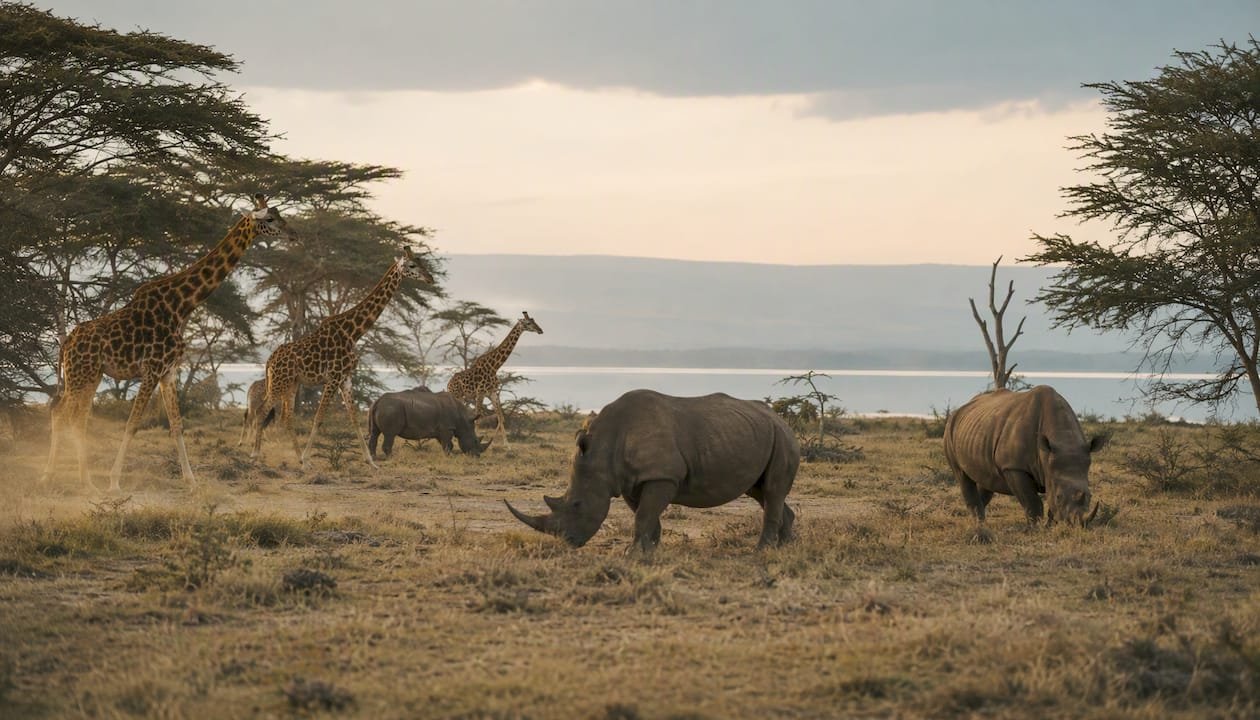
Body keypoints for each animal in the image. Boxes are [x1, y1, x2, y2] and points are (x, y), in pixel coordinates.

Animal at [41, 194, 294, 491]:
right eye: (270, 219)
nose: (293, 233)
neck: (181, 306)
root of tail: (66, 343)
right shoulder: (151, 369)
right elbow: (132, 423)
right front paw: (114, 483)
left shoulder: (168, 372)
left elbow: (176, 425)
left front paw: (192, 481)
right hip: (80, 375)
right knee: (61, 414)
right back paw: (54, 477)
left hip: (90, 376)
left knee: (76, 418)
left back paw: (83, 480)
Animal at [249, 248, 433, 470]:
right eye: (412, 265)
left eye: (421, 261)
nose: (430, 278)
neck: (353, 332)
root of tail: (270, 361)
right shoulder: (333, 377)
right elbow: (318, 418)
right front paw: (308, 458)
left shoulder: (346, 377)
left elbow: (354, 419)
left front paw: (371, 462)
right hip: (279, 382)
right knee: (261, 411)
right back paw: (256, 455)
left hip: (291, 383)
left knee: (286, 417)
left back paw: (296, 458)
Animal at [446, 312, 544, 447]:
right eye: (528, 323)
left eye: (534, 321)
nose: (540, 330)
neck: (494, 366)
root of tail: (448, 384)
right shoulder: (480, 393)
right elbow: (477, 418)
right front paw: (477, 442)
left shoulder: (492, 392)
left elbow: (500, 417)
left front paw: (506, 445)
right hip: (457, 395)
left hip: (462, 398)